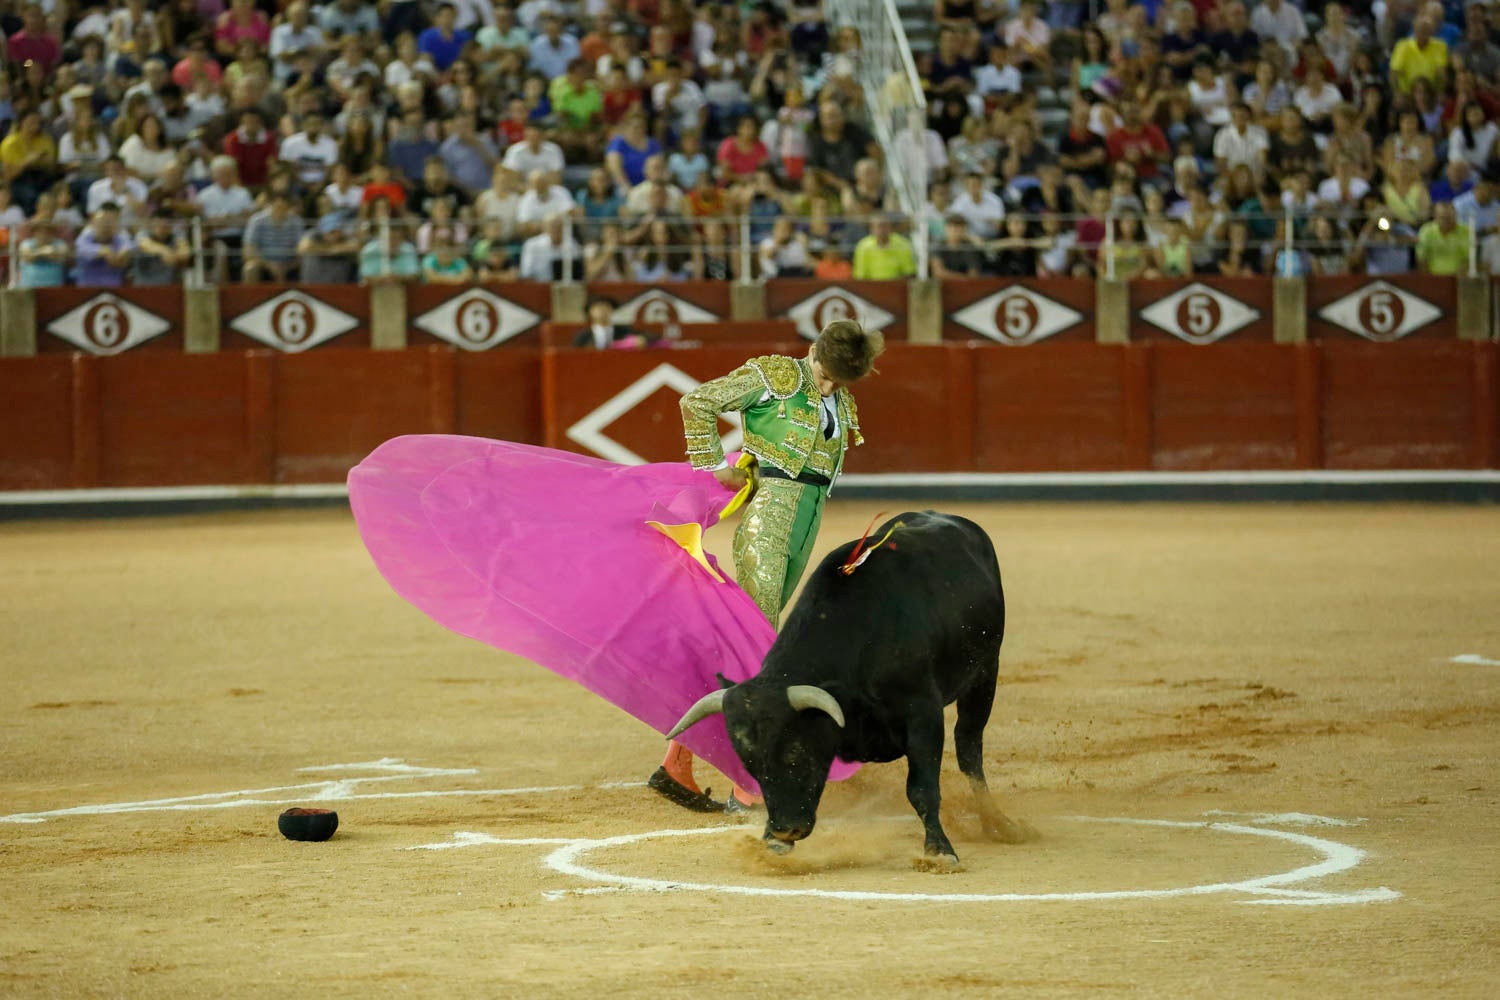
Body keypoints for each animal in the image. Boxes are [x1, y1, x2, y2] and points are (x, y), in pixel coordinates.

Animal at [669, 512, 1032, 863]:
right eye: (750, 764)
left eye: (796, 752)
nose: (784, 830)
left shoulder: (923, 714)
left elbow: (922, 787)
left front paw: (940, 850)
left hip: (986, 673)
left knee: (969, 747)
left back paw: (998, 824)